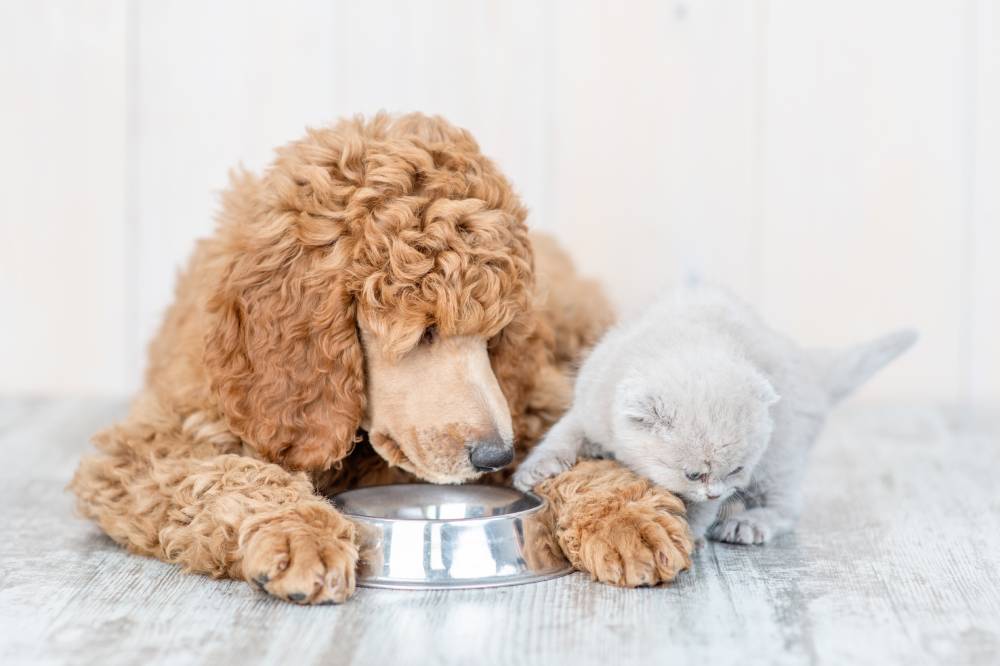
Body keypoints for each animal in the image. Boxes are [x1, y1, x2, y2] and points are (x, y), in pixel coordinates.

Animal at [516, 282, 916, 544]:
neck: (683, 340)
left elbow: (702, 510)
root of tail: (811, 369)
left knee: (788, 509)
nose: (713, 493)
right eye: (693, 474)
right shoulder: (590, 406)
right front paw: (536, 469)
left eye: (735, 470)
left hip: (780, 458)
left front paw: (688, 528)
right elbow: (564, 433)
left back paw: (746, 526)